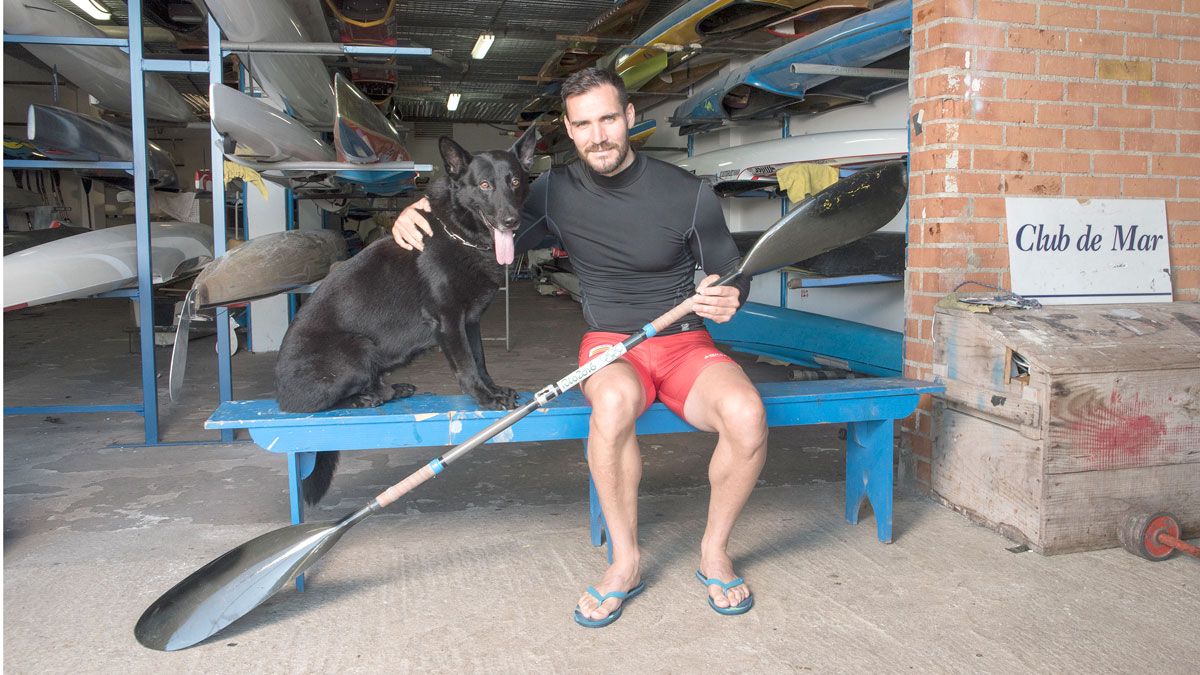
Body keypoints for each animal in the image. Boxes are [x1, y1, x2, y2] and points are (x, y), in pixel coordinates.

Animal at [274, 132, 537, 499]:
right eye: (485, 185)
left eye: (514, 181)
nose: (511, 220)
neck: (460, 235)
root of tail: (279, 392)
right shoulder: (449, 321)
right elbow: (467, 367)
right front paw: (486, 397)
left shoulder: (470, 322)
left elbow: (481, 361)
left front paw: (493, 388)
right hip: (356, 349)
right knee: (320, 404)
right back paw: (371, 396)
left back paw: (393, 389)